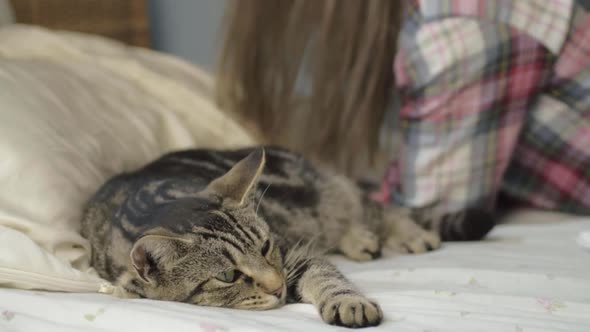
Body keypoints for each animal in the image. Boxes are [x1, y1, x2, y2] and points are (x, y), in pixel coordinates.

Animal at [84, 147, 444, 328]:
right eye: (228, 276)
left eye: (266, 246)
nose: (279, 287)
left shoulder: (295, 253)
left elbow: (327, 276)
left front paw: (348, 301)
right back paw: (361, 240)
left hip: (327, 197)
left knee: (373, 207)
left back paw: (411, 234)